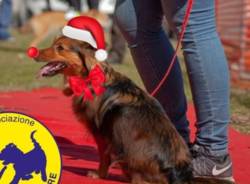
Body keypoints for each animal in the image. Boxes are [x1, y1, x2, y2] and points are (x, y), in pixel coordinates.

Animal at [31, 36, 234, 184]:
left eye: (60, 48)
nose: (33, 52)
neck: (89, 77)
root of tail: (177, 173)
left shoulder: (102, 133)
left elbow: (103, 156)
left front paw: (99, 174)